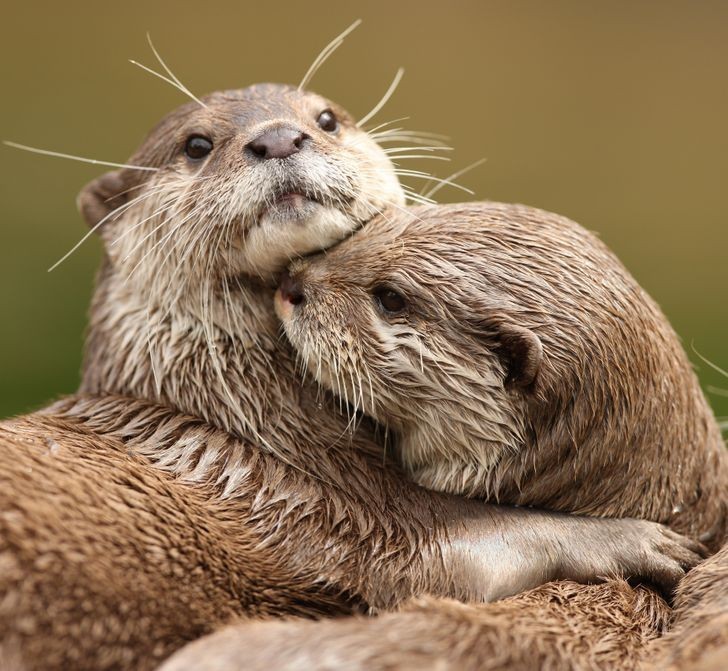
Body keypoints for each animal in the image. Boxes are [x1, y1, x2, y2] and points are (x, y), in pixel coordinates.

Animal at [0, 85, 700, 671]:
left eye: (325, 118)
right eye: (196, 145)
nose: (279, 138)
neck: (233, 397)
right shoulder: (330, 504)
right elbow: (467, 543)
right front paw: (635, 540)